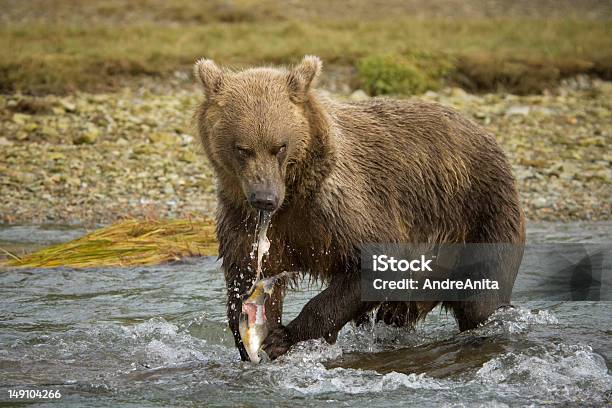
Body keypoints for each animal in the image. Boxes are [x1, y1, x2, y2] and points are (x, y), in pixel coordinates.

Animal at [195, 54, 524, 360]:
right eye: (242, 149)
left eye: (280, 147)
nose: (265, 198)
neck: (295, 193)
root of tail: (486, 133)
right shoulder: (247, 220)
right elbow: (247, 275)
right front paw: (253, 336)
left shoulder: (342, 208)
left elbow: (376, 262)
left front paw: (285, 336)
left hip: (479, 212)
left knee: (481, 298)